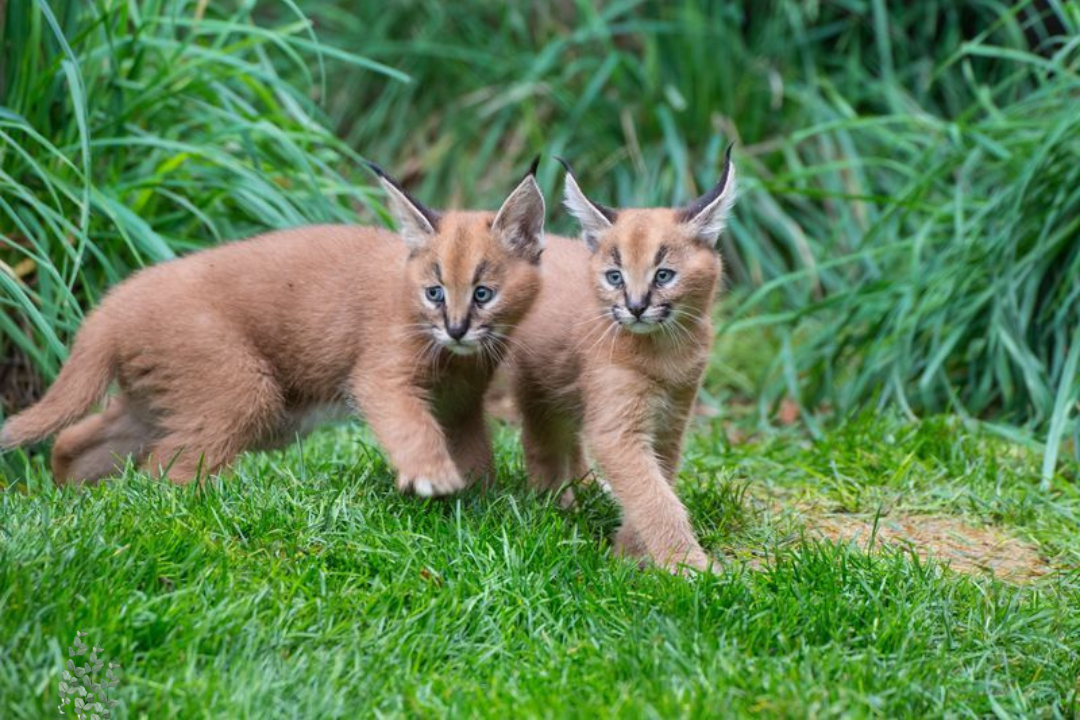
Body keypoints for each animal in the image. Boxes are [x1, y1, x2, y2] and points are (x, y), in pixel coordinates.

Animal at [0, 161, 544, 496]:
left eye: (482, 293)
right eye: (435, 292)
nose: (456, 328)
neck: (454, 358)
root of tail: (112, 304)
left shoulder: (461, 403)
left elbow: (476, 449)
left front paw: (479, 497)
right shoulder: (382, 376)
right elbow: (410, 422)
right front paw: (433, 477)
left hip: (154, 400)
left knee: (78, 441)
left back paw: (73, 493)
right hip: (242, 389)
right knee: (162, 475)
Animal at [509, 148, 738, 569]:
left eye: (664, 275)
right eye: (614, 277)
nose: (635, 307)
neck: (666, 349)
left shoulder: (670, 421)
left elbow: (658, 482)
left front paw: (631, 553)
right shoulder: (619, 429)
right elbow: (654, 498)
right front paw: (690, 567)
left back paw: (586, 488)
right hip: (539, 386)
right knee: (541, 439)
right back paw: (553, 503)